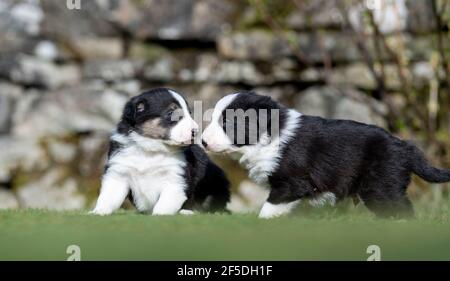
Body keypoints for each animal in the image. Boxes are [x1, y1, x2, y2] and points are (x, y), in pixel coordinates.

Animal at [92, 87, 230, 214]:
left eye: (190, 113)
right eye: (171, 113)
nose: (195, 131)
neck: (150, 148)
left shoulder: (175, 178)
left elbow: (165, 203)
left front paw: (159, 215)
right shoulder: (118, 172)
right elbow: (108, 197)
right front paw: (98, 212)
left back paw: (188, 212)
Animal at [201, 91, 450, 218]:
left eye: (227, 122)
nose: (202, 141)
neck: (270, 133)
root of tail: (404, 147)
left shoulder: (291, 184)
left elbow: (267, 210)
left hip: (380, 187)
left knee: (401, 210)